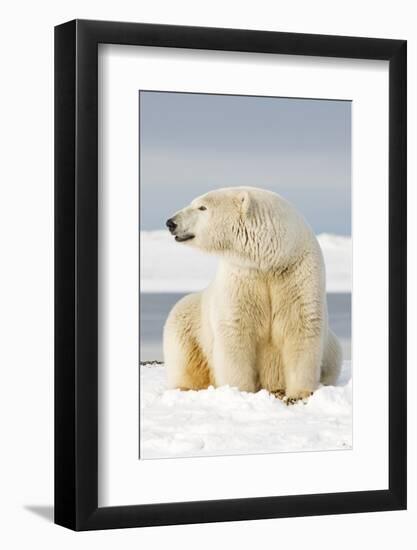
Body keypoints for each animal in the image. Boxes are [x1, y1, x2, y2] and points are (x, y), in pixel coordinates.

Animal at [162, 187, 342, 402]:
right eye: (195, 203)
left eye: (202, 207)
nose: (171, 222)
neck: (271, 260)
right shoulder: (242, 276)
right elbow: (236, 331)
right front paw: (240, 391)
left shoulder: (297, 275)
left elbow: (300, 325)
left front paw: (300, 392)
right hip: (188, 320)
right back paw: (186, 387)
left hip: (332, 347)